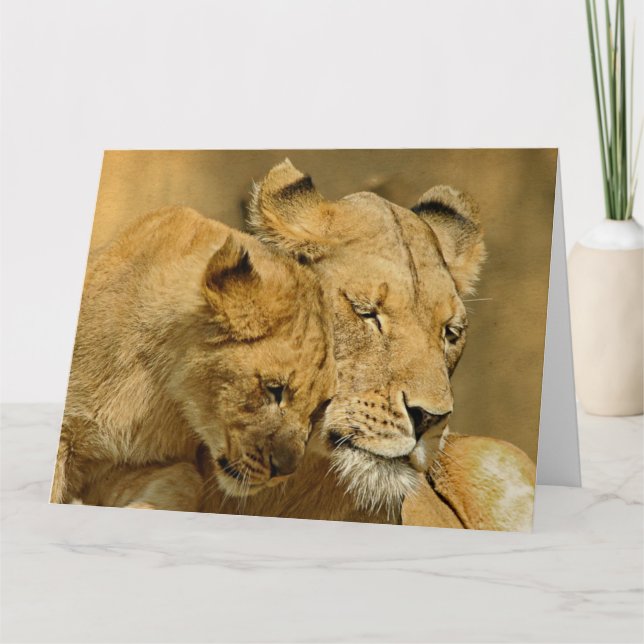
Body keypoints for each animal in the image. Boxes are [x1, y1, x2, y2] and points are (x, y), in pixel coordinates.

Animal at [50, 205, 335, 511]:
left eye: (320, 408)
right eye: (274, 389)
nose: (285, 471)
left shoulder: (131, 465)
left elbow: (185, 480)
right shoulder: (66, 439)